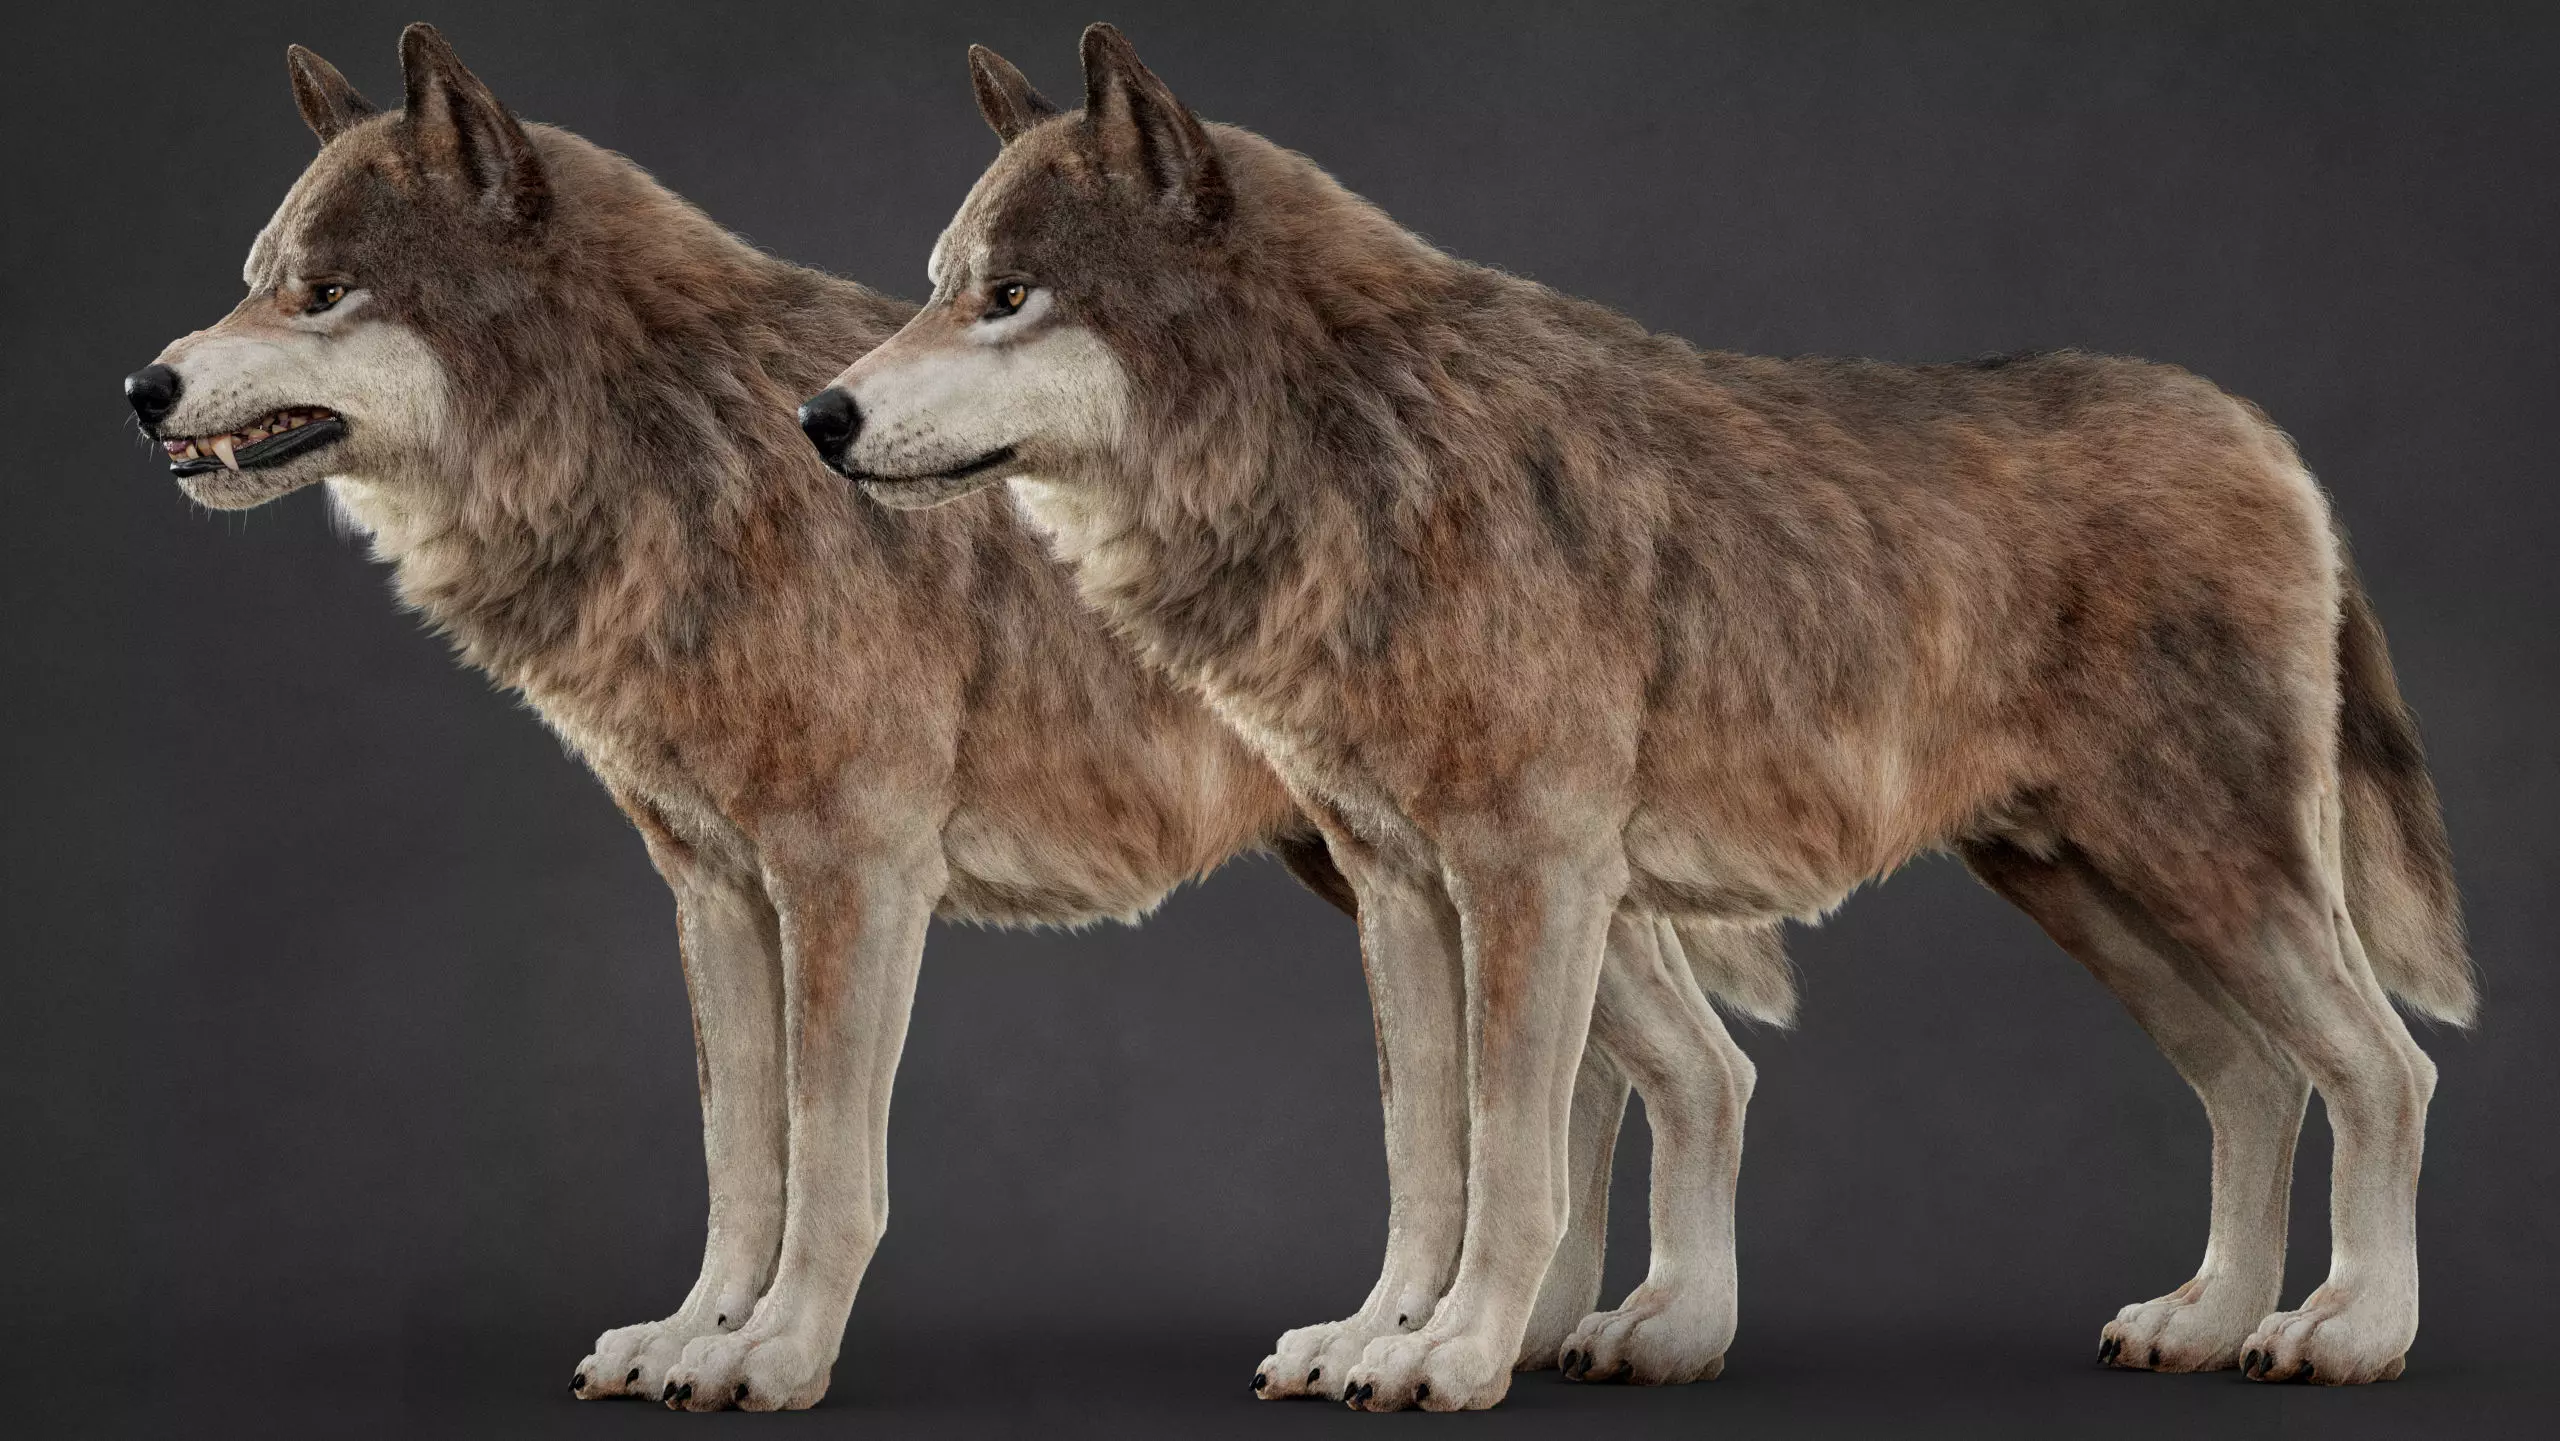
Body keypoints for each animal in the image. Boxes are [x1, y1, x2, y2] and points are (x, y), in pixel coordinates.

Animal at [125, 25, 1787, 1412]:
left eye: (322, 291)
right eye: (255, 275)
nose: (144, 386)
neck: (676, 469)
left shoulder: (852, 880)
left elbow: (828, 1167)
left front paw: (776, 1358)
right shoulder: (716, 891)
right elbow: (743, 1159)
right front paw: (693, 1335)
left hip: (1489, 876)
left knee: (1687, 1075)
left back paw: (1612, 1337)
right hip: (1445, 882)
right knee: (1636, 1079)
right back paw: (1539, 1334)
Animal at [809, 25, 2472, 1410]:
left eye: (1008, 297)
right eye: (940, 283)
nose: (821, 417)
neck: (1359, 461)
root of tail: (2268, 442)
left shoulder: (1529, 878)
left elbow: (1512, 1162)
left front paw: (1458, 1356)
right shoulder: (1401, 890)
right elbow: (1426, 1160)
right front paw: (1374, 1336)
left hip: (2212, 877)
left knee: (2388, 1070)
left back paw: (2352, 1333)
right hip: (2088, 892)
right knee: (2258, 1080)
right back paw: (2203, 1321)